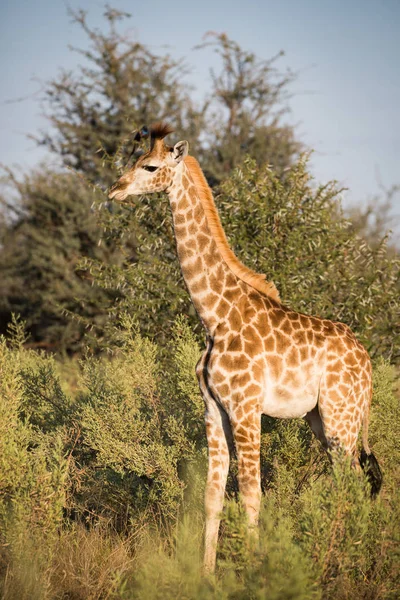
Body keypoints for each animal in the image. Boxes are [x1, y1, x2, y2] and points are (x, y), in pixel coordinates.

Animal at [108, 122, 382, 572]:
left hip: (341, 418)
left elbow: (252, 495)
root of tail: (369, 364)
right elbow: (212, 496)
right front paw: (206, 575)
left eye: (149, 166)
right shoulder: (213, 409)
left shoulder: (246, 407)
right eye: (134, 160)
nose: (116, 188)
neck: (215, 315)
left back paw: (346, 564)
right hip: (321, 420)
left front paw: (253, 572)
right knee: (351, 482)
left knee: (355, 485)